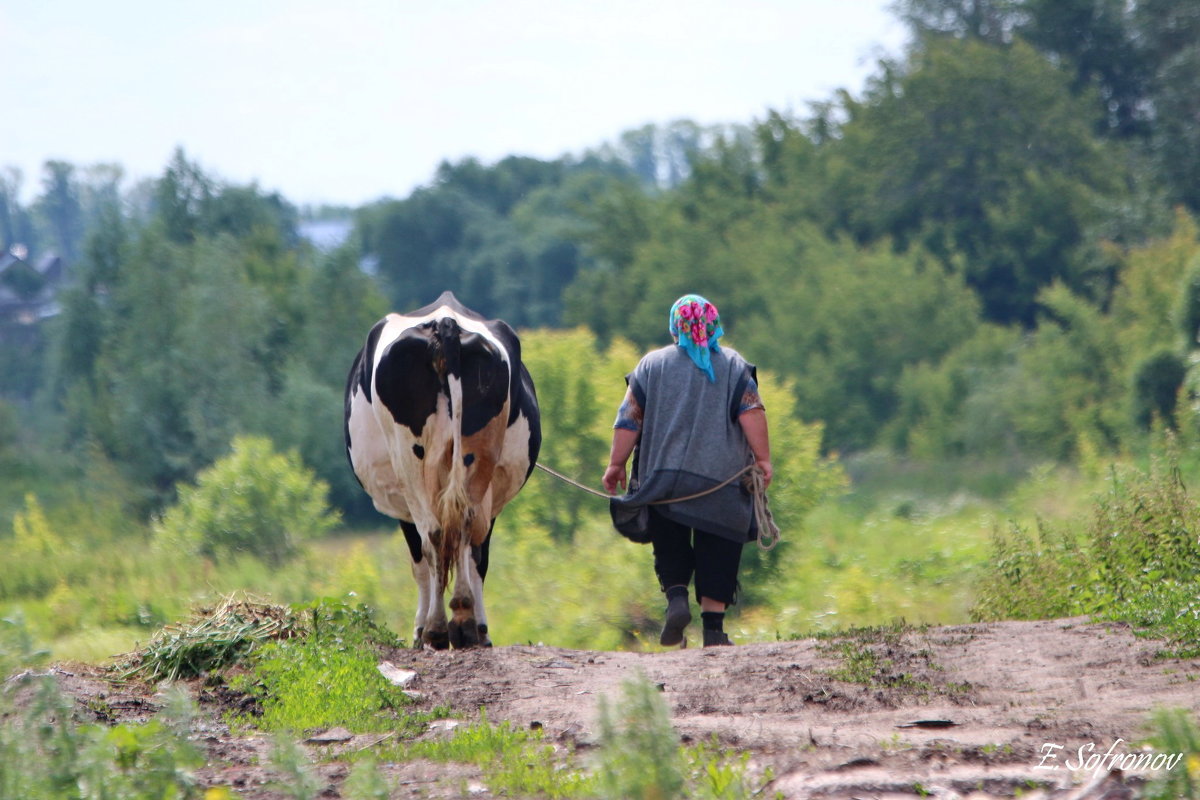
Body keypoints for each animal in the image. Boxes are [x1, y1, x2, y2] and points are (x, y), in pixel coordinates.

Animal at [343, 293, 540, 652]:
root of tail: (445, 322)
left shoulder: (402, 507)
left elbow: (420, 562)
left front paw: (421, 630)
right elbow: (476, 558)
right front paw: (476, 628)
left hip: (410, 460)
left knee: (435, 534)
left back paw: (437, 628)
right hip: (477, 456)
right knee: (464, 526)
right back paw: (463, 622)